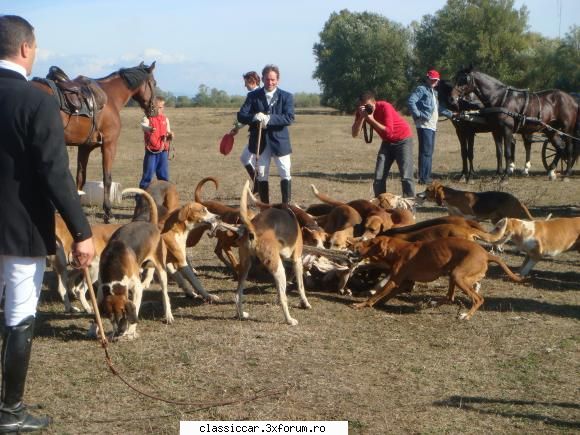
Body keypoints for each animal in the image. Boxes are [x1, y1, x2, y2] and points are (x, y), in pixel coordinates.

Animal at [32, 61, 156, 221]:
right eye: (154, 83)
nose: (154, 110)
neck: (110, 97)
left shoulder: (85, 147)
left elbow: (80, 178)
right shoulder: (109, 145)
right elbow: (107, 178)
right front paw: (108, 212)